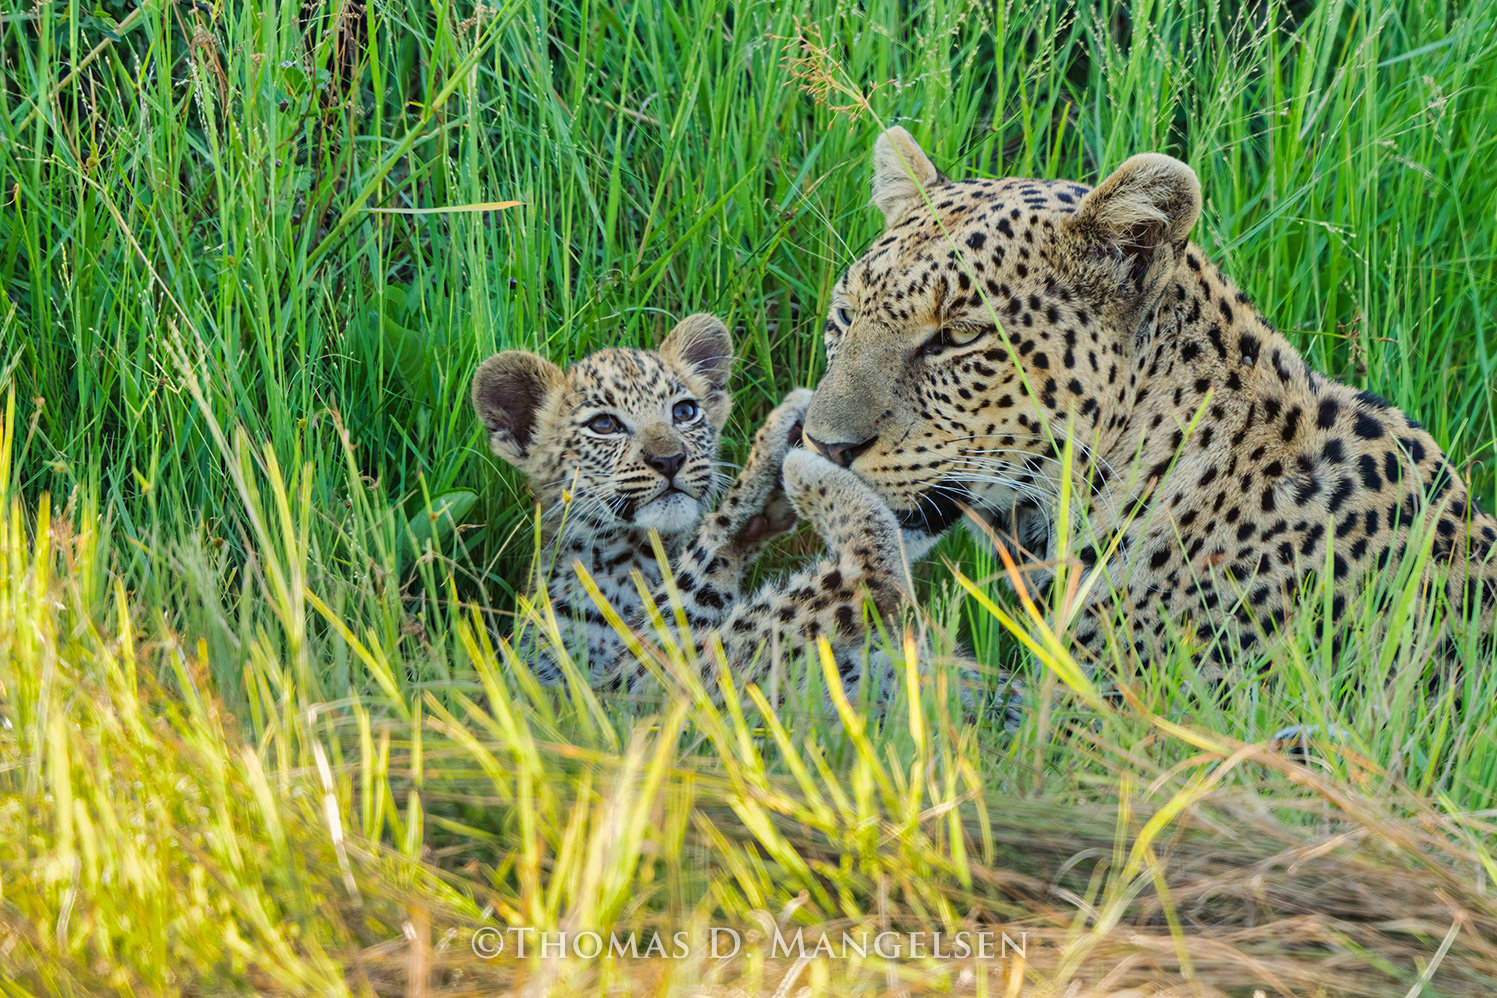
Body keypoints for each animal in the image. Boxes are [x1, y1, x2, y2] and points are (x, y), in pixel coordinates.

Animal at [470, 313, 917, 702]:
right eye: (604, 425)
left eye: (684, 412)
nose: (669, 459)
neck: (634, 557)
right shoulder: (620, 685)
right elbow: (708, 546)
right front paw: (778, 443)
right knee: (866, 579)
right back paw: (804, 466)